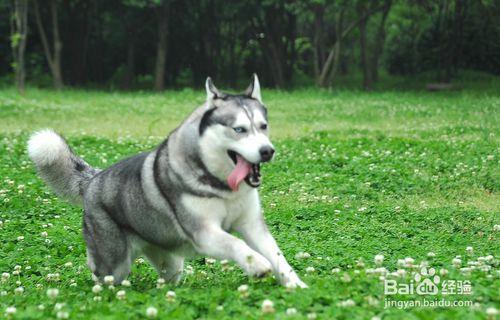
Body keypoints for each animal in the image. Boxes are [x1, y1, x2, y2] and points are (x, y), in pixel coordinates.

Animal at [30, 74, 308, 288]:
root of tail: (94, 179)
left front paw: (296, 286)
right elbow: (236, 243)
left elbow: (278, 256)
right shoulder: (204, 233)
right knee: (101, 275)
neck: (222, 186)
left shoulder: (252, 224)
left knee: (167, 280)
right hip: (114, 263)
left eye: (263, 126)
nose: (267, 151)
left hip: (171, 262)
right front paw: (258, 265)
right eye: (239, 129)